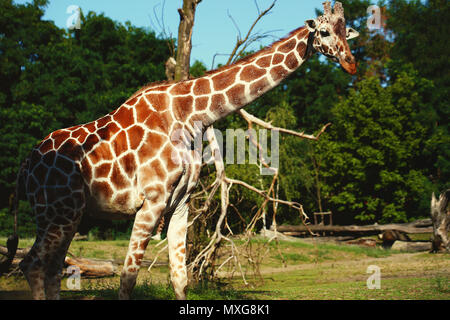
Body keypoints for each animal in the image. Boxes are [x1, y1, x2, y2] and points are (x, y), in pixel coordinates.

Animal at [9, 1, 358, 300]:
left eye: (347, 31)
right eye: (323, 32)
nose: (351, 63)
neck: (190, 112)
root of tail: (26, 164)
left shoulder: (180, 203)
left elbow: (180, 277)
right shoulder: (151, 201)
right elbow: (127, 278)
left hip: (66, 213)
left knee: (52, 268)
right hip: (59, 211)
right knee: (33, 264)